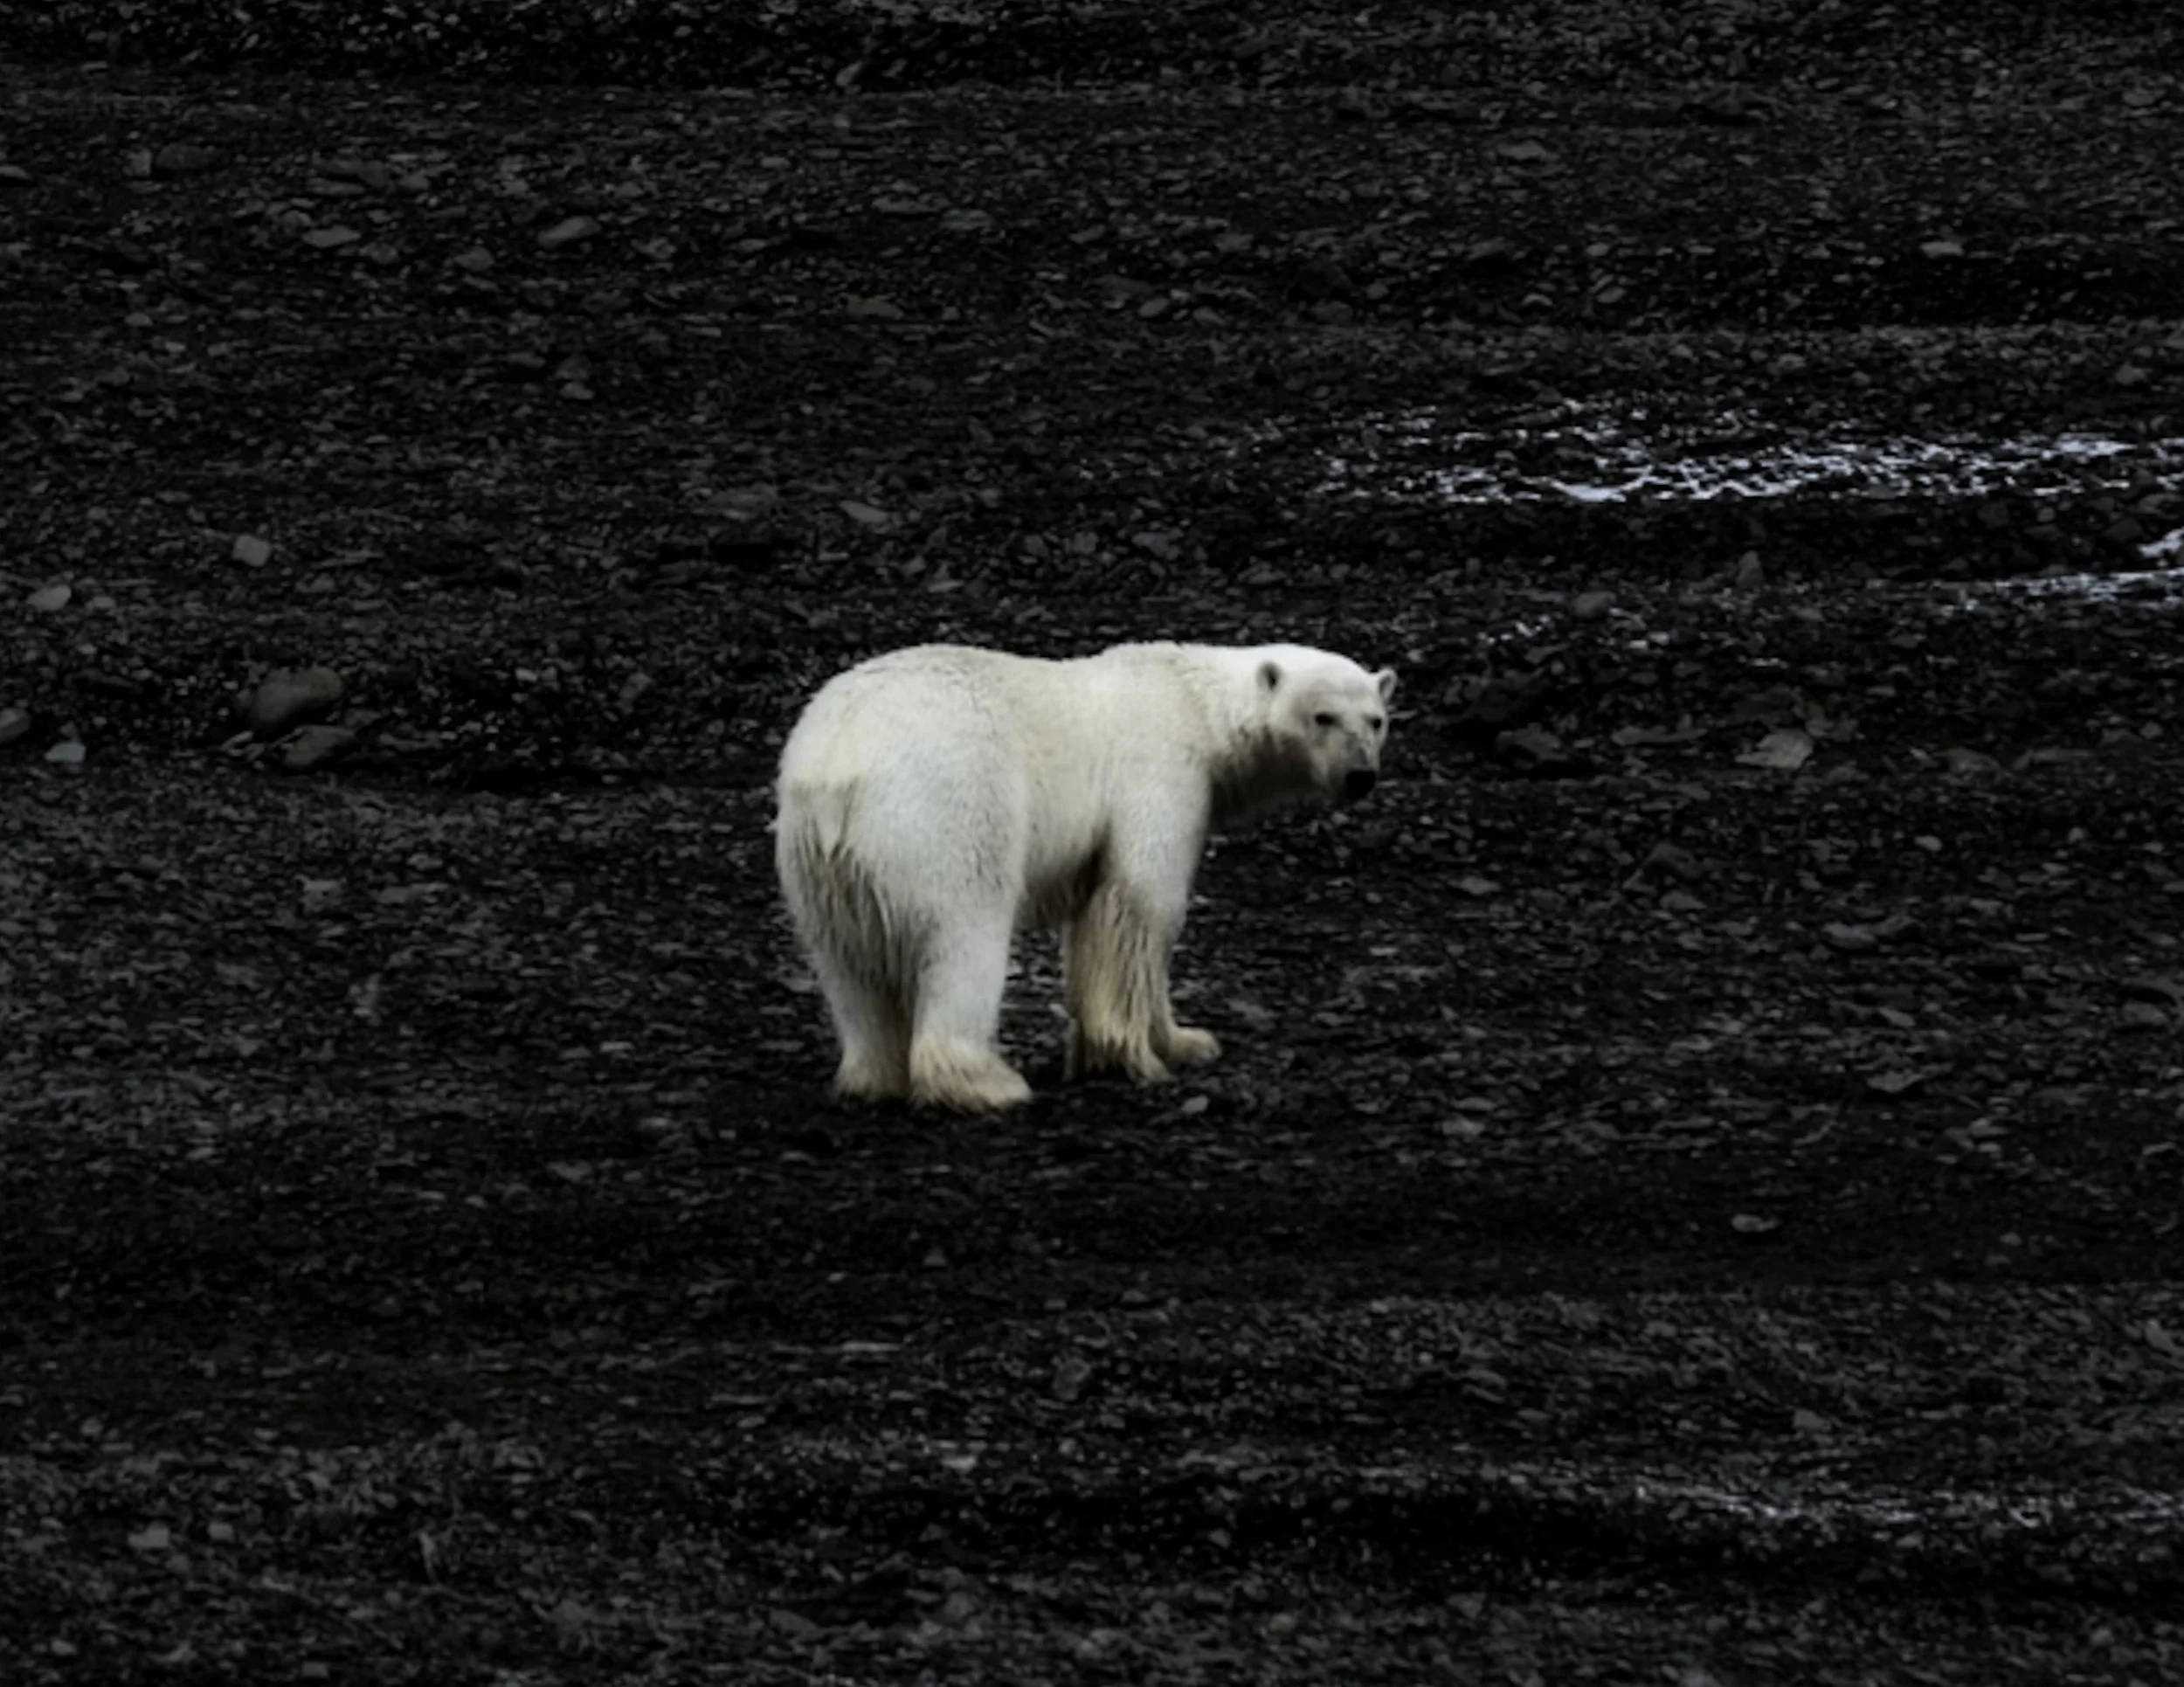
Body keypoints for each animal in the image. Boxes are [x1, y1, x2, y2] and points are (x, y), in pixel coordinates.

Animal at [774, 640, 1396, 1112]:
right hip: (941, 815)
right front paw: (1143, 1053)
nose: (1360, 775)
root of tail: (837, 766)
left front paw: (1187, 1041)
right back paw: (990, 1083)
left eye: (1377, 720)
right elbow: (1143, 903)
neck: (1194, 700)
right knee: (963, 936)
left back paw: (872, 1076)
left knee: (848, 965)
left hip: (811, 860)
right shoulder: (1162, 770)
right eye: (1322, 716)